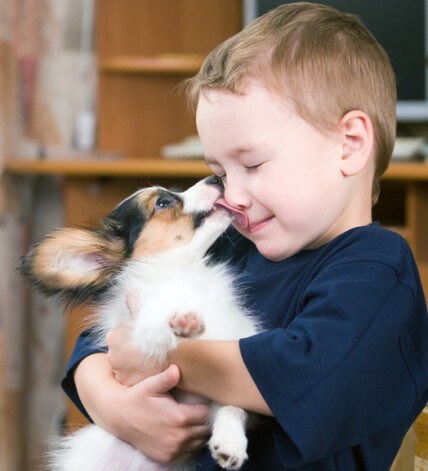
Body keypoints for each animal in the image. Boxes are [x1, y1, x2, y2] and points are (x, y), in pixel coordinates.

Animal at [20, 175, 260, 470]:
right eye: (163, 202)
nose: (216, 178)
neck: (184, 273)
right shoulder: (139, 331)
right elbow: (154, 323)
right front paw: (182, 320)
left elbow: (234, 407)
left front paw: (230, 442)